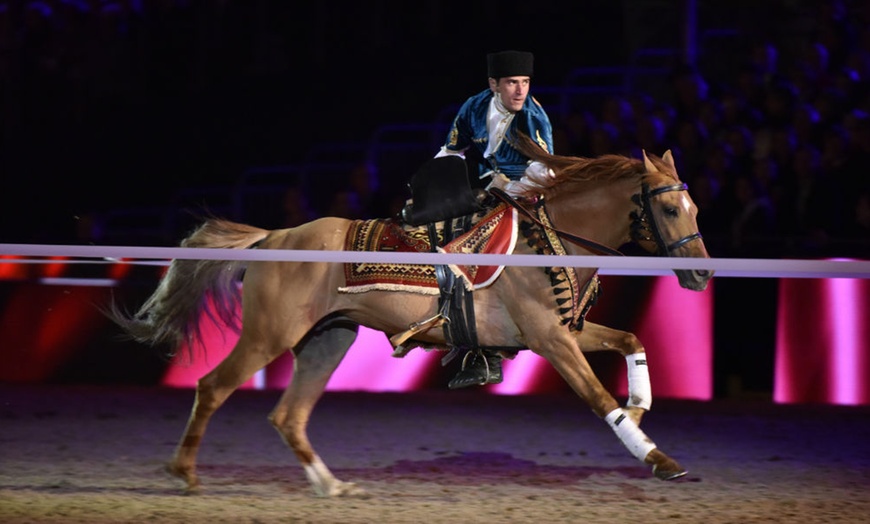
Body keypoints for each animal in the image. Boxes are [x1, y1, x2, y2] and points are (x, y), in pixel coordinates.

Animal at [110, 135, 716, 496]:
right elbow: (597, 398)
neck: (544, 242)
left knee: (289, 415)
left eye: (695, 207)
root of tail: (274, 239)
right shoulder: (551, 341)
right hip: (269, 335)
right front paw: (658, 457)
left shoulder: (568, 331)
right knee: (212, 387)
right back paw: (185, 472)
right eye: (668, 207)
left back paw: (331, 486)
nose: (702, 274)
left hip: (328, 340)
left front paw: (640, 406)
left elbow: (631, 339)